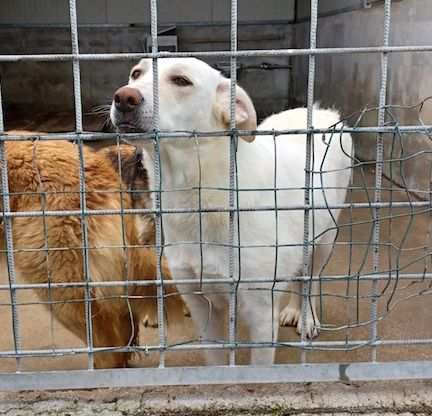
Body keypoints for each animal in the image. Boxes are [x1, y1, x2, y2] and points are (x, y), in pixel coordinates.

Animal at [109, 57, 352, 364]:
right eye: (136, 74)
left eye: (181, 81)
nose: (124, 97)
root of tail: (320, 110)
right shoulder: (201, 305)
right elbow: (215, 357)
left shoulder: (261, 313)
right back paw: (294, 310)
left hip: (324, 239)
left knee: (310, 279)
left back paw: (306, 317)